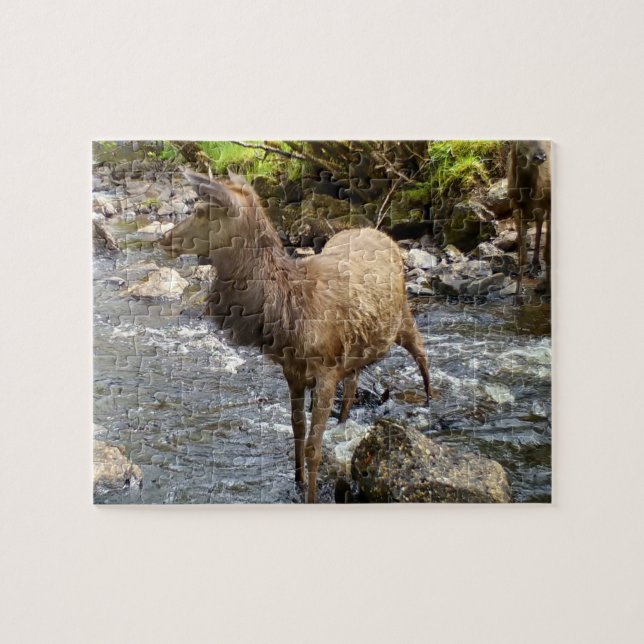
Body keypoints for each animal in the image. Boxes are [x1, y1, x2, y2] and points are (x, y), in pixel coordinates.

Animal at [158, 169, 433, 503]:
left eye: (201, 210)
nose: (164, 239)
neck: (288, 314)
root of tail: (383, 235)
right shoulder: (293, 371)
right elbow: (297, 430)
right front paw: (297, 480)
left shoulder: (326, 370)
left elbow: (314, 446)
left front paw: (311, 494)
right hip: (357, 348)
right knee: (353, 383)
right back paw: (344, 420)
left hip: (403, 316)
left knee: (421, 352)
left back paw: (431, 403)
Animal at [507, 140, 552, 301]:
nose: (540, 156)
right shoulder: (515, 207)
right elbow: (522, 256)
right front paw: (518, 295)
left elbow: (548, 253)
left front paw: (548, 291)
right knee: (538, 223)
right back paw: (535, 266)